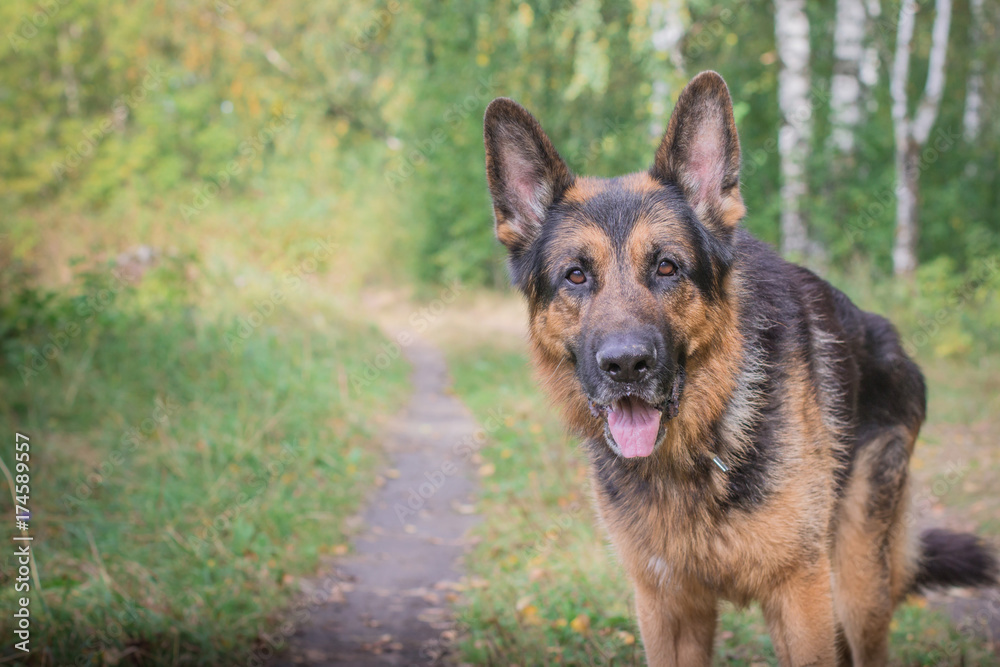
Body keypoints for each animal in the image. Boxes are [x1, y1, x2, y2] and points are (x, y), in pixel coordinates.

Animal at [480, 70, 996, 664]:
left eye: (666, 267)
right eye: (576, 276)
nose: (627, 364)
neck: (701, 444)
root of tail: (888, 337)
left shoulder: (800, 600)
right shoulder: (668, 610)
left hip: (856, 584)